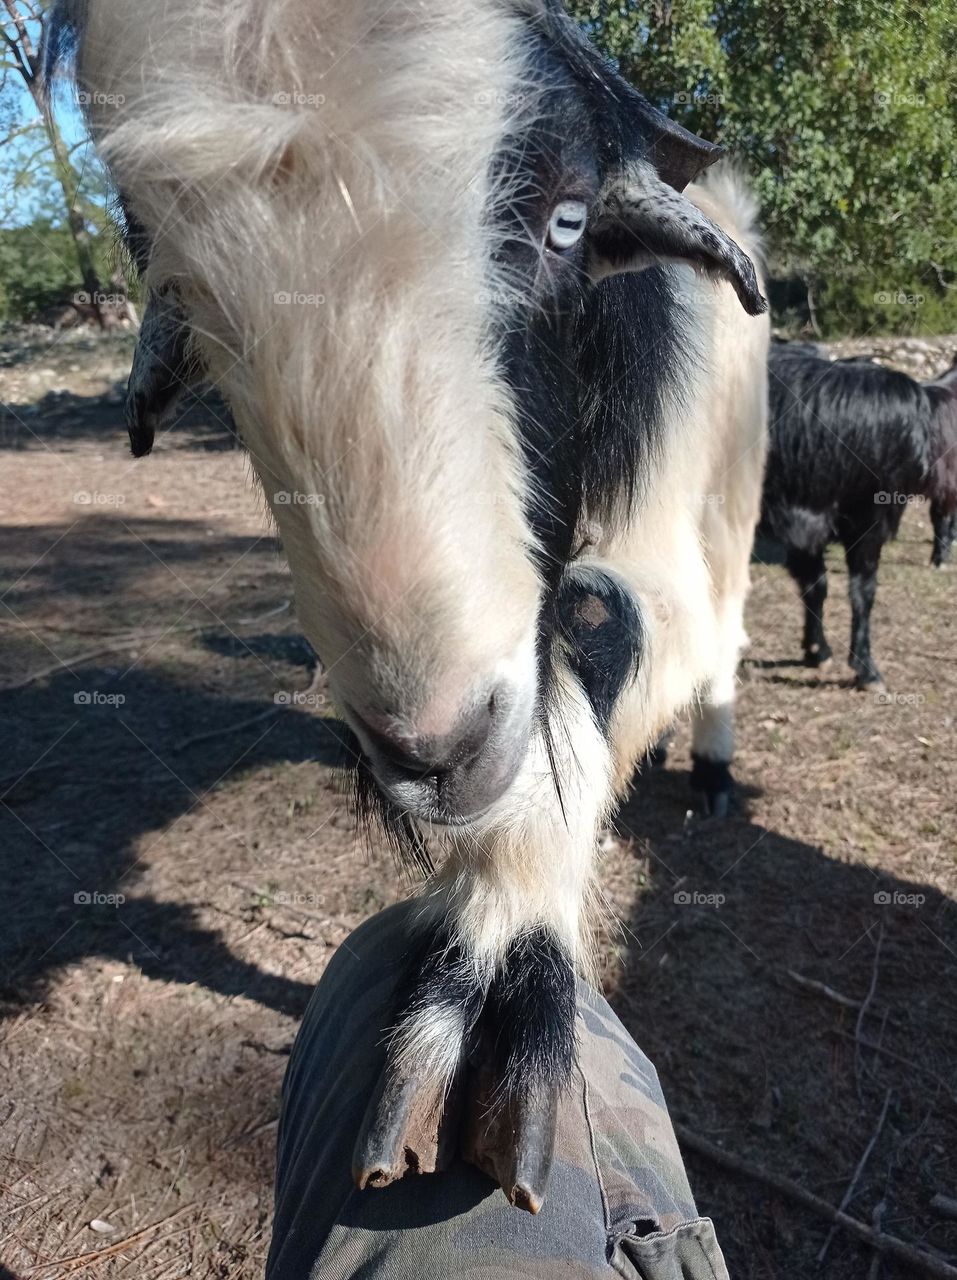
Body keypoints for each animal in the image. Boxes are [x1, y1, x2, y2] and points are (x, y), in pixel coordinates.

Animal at [48, 0, 769, 1210]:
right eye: (180, 293)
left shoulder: (655, 537)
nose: (434, 751)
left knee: (726, 626)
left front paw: (496, 972)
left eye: (567, 220)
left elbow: (613, 621)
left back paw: (707, 766)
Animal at [763, 344, 957, 689]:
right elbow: (862, 590)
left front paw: (816, 650)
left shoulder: (808, 525)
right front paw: (866, 667)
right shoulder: (865, 518)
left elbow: (816, 585)